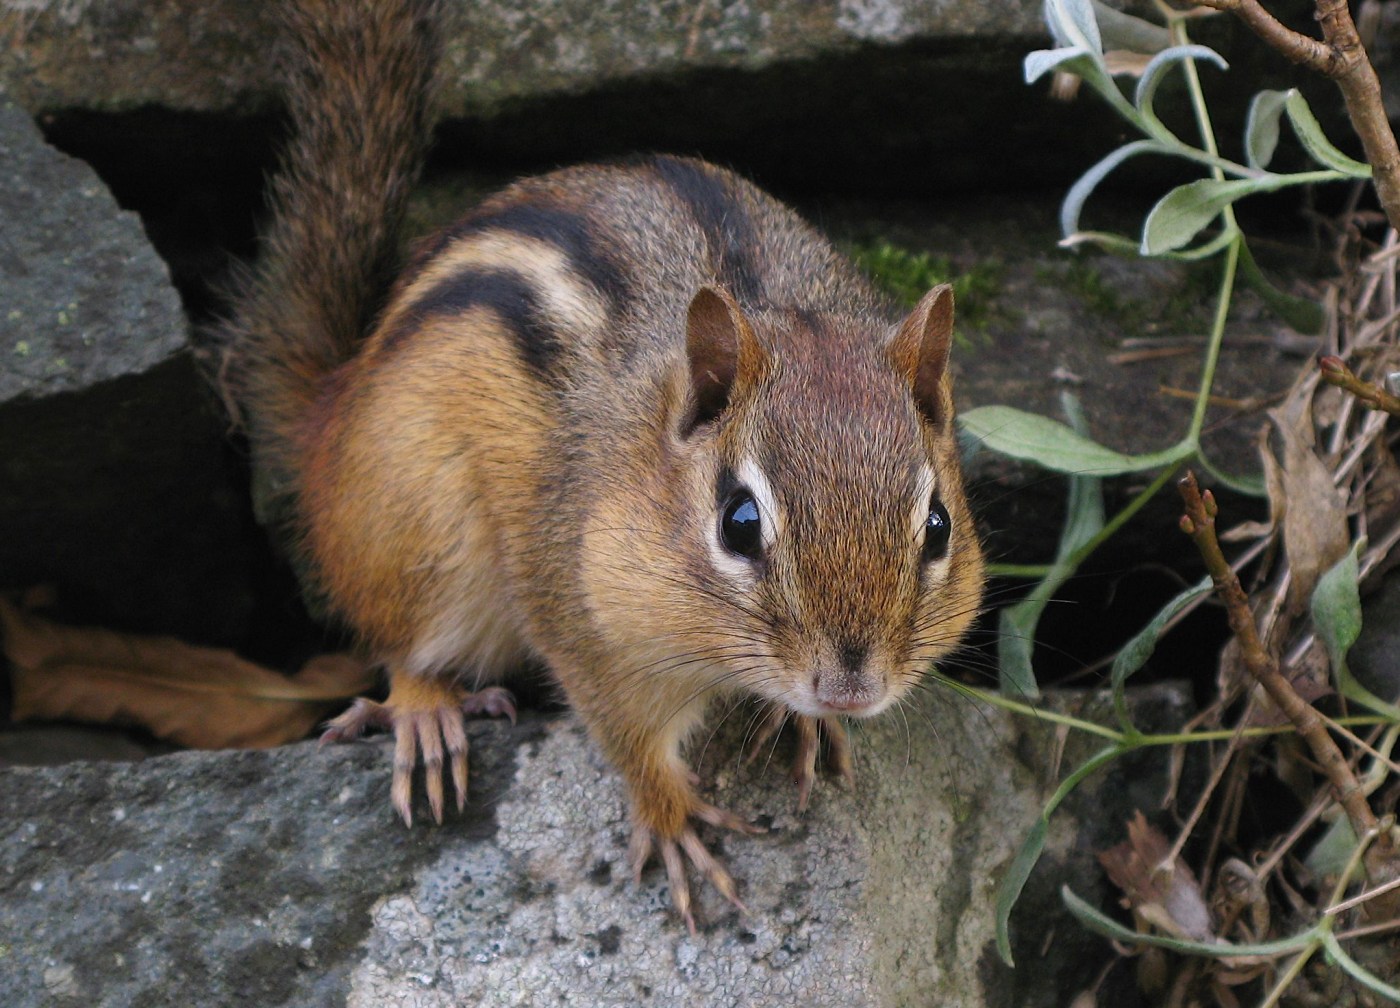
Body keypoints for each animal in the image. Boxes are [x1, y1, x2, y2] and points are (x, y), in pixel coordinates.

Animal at [217, 0, 986, 931]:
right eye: (739, 523)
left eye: (938, 526)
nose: (848, 688)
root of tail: (331, 412)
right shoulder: (573, 595)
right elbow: (620, 726)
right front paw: (672, 814)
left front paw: (802, 723)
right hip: (416, 533)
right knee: (399, 640)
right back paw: (425, 713)